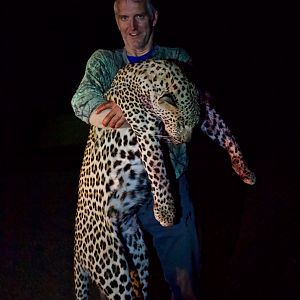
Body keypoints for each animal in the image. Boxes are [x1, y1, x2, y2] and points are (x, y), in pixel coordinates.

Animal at [73, 59, 255, 300]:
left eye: (193, 125)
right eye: (179, 124)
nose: (184, 141)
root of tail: (77, 248)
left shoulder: (206, 112)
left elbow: (226, 133)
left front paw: (244, 170)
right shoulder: (145, 130)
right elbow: (158, 170)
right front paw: (165, 213)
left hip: (137, 249)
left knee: (140, 279)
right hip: (110, 263)